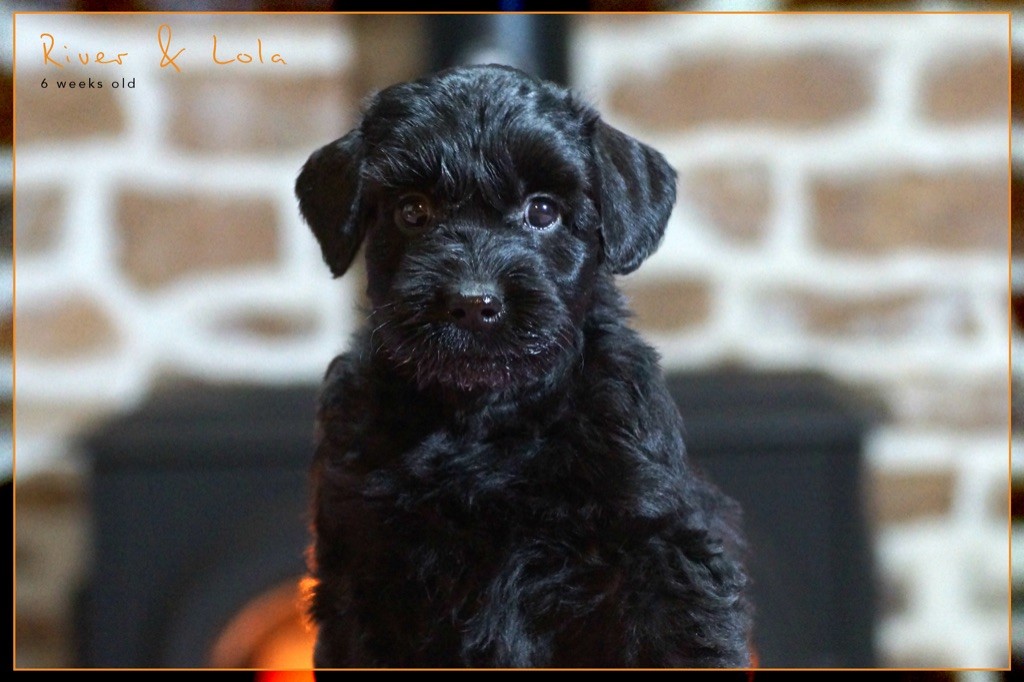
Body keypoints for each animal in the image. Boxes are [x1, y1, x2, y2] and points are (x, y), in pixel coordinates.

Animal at [295, 64, 752, 668]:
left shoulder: (660, 549)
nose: (472, 303)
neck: (487, 418)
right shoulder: (364, 567)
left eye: (542, 210)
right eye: (412, 210)